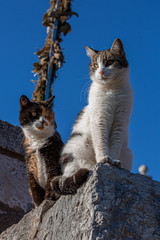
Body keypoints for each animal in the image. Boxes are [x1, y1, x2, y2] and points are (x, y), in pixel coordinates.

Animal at [51, 38, 132, 195]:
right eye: (95, 65)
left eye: (109, 62)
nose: (100, 71)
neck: (111, 90)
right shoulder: (99, 120)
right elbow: (101, 142)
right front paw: (103, 159)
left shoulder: (120, 123)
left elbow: (115, 145)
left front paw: (113, 162)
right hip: (78, 145)